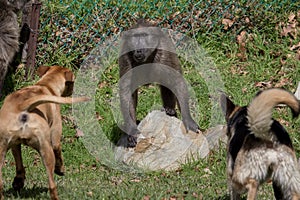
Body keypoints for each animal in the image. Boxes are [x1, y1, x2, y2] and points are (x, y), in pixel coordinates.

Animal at [0, 65, 89, 198]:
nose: (72, 91)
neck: (45, 85)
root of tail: (22, 106)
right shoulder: (55, 139)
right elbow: (59, 153)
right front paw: (60, 169)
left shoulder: (15, 145)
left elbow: (19, 163)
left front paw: (18, 182)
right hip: (46, 149)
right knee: (52, 184)